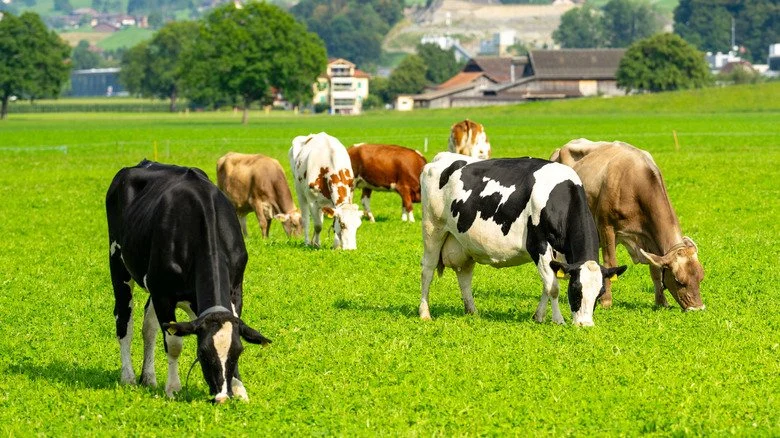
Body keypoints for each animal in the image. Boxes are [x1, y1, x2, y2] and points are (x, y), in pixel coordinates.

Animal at [106, 160, 271, 403]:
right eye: (202, 353)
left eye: (239, 351)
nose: (222, 397)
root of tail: (143, 163)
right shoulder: (164, 294)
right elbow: (174, 343)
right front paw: (173, 388)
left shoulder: (235, 289)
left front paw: (239, 388)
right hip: (118, 264)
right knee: (125, 319)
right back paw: (128, 377)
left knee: (149, 326)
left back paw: (149, 378)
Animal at [419, 152, 627, 326]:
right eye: (575, 290)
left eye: (600, 293)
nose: (585, 325)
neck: (558, 198)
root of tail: (441, 157)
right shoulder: (538, 245)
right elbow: (553, 287)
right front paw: (558, 320)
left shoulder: (560, 256)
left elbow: (547, 284)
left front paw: (539, 317)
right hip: (432, 229)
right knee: (427, 270)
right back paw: (425, 313)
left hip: (465, 243)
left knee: (464, 276)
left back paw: (472, 312)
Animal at [550, 138, 705, 311]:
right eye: (678, 280)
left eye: (701, 277)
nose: (698, 308)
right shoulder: (606, 227)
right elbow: (610, 262)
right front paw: (606, 301)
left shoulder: (649, 238)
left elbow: (655, 269)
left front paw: (661, 301)